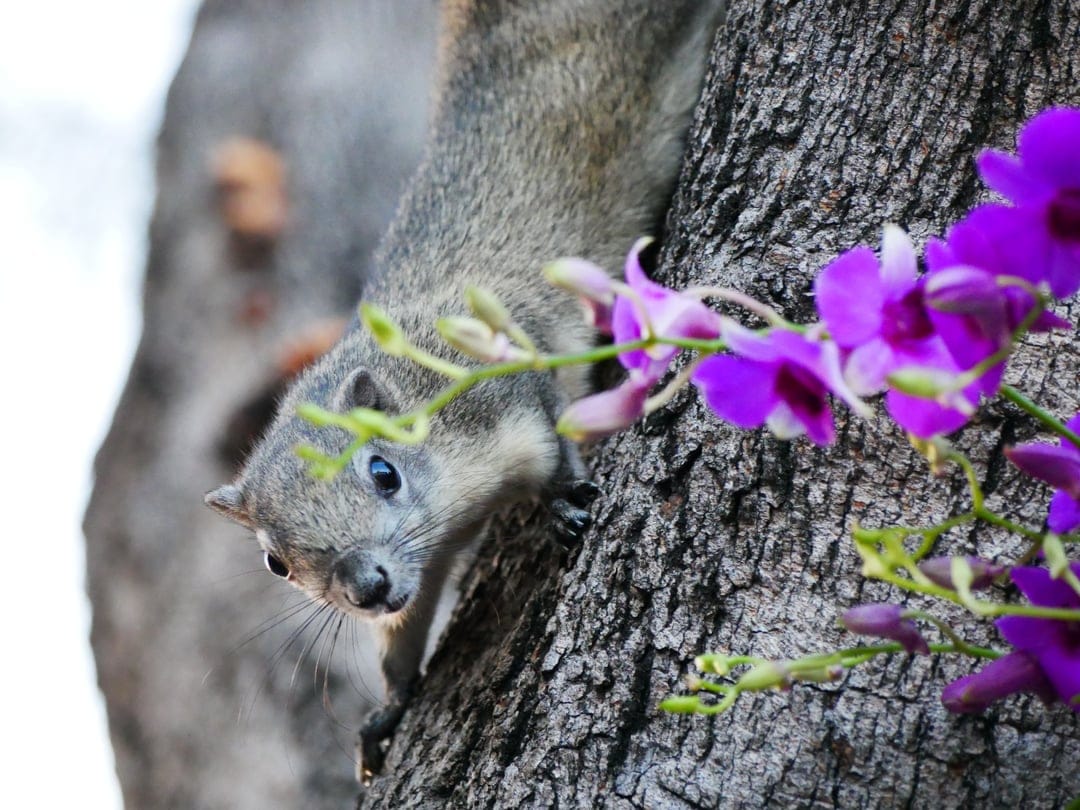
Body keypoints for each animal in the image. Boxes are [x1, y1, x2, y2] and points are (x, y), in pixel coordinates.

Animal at [206, 0, 724, 782]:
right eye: (276, 563)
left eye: (382, 472)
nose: (366, 587)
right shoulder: (418, 572)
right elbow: (403, 636)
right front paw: (387, 712)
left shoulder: (505, 386)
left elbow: (553, 435)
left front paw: (561, 502)